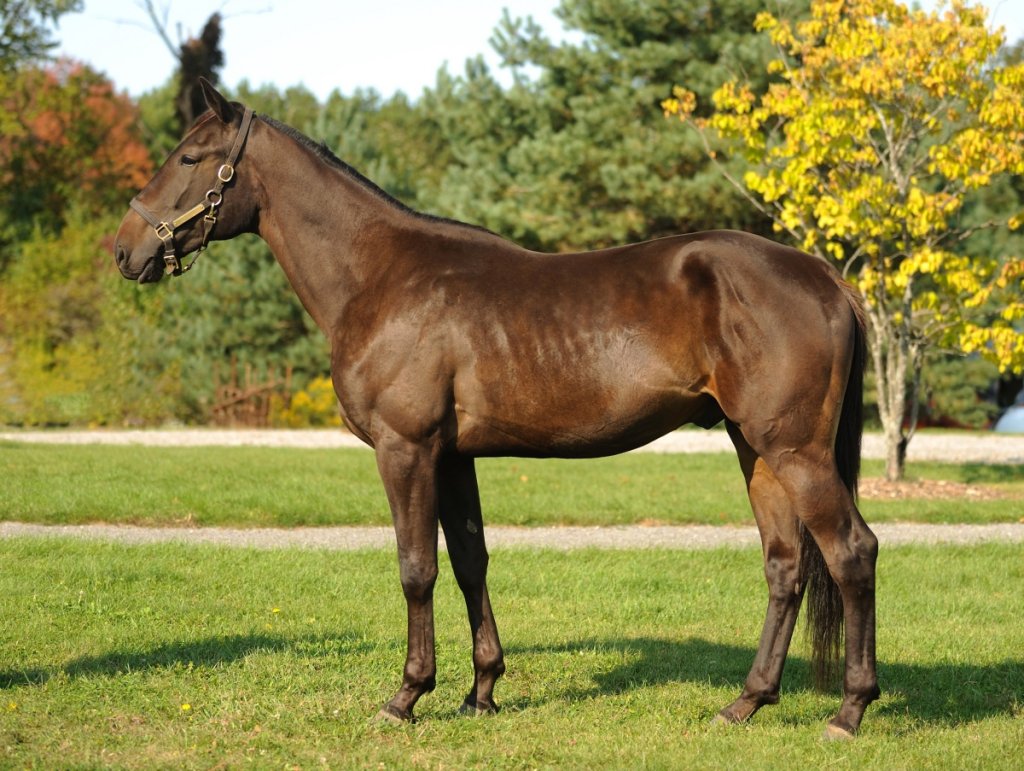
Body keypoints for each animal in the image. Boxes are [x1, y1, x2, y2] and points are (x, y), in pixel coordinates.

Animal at [114, 79, 879, 739]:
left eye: (189, 157)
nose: (126, 249)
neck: (379, 274)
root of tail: (824, 276)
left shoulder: (406, 448)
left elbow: (416, 567)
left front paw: (406, 695)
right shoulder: (454, 456)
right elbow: (469, 560)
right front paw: (481, 691)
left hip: (795, 453)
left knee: (851, 552)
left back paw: (848, 711)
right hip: (756, 450)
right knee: (785, 566)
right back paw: (746, 702)